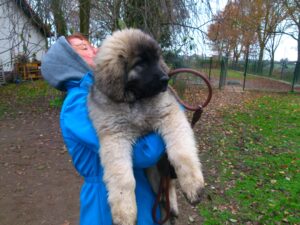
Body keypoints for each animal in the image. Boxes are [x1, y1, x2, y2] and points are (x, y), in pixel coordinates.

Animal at [86, 29, 204, 224]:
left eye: (157, 59)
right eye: (141, 63)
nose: (165, 79)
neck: (135, 100)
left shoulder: (170, 116)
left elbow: (181, 153)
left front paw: (193, 185)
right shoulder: (115, 137)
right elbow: (123, 179)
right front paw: (125, 213)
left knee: (169, 184)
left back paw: (172, 205)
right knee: (162, 190)